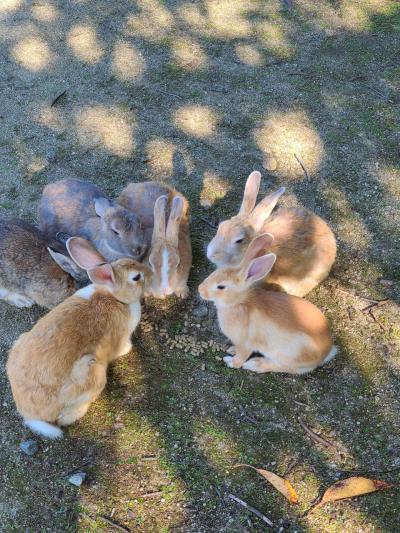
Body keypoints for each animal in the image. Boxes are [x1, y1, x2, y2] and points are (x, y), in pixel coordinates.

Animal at [6, 236, 150, 436]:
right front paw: (129, 349)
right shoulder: (121, 337)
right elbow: (122, 346)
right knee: (64, 418)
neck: (114, 296)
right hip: (93, 373)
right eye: (136, 277)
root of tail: (30, 414)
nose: (150, 272)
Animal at [198, 233, 336, 374]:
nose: (200, 290)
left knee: (284, 367)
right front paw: (232, 349)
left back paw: (254, 364)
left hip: (289, 355)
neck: (239, 303)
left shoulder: (245, 344)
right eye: (214, 273)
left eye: (221, 287)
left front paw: (231, 362)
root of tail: (326, 353)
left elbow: (240, 358)